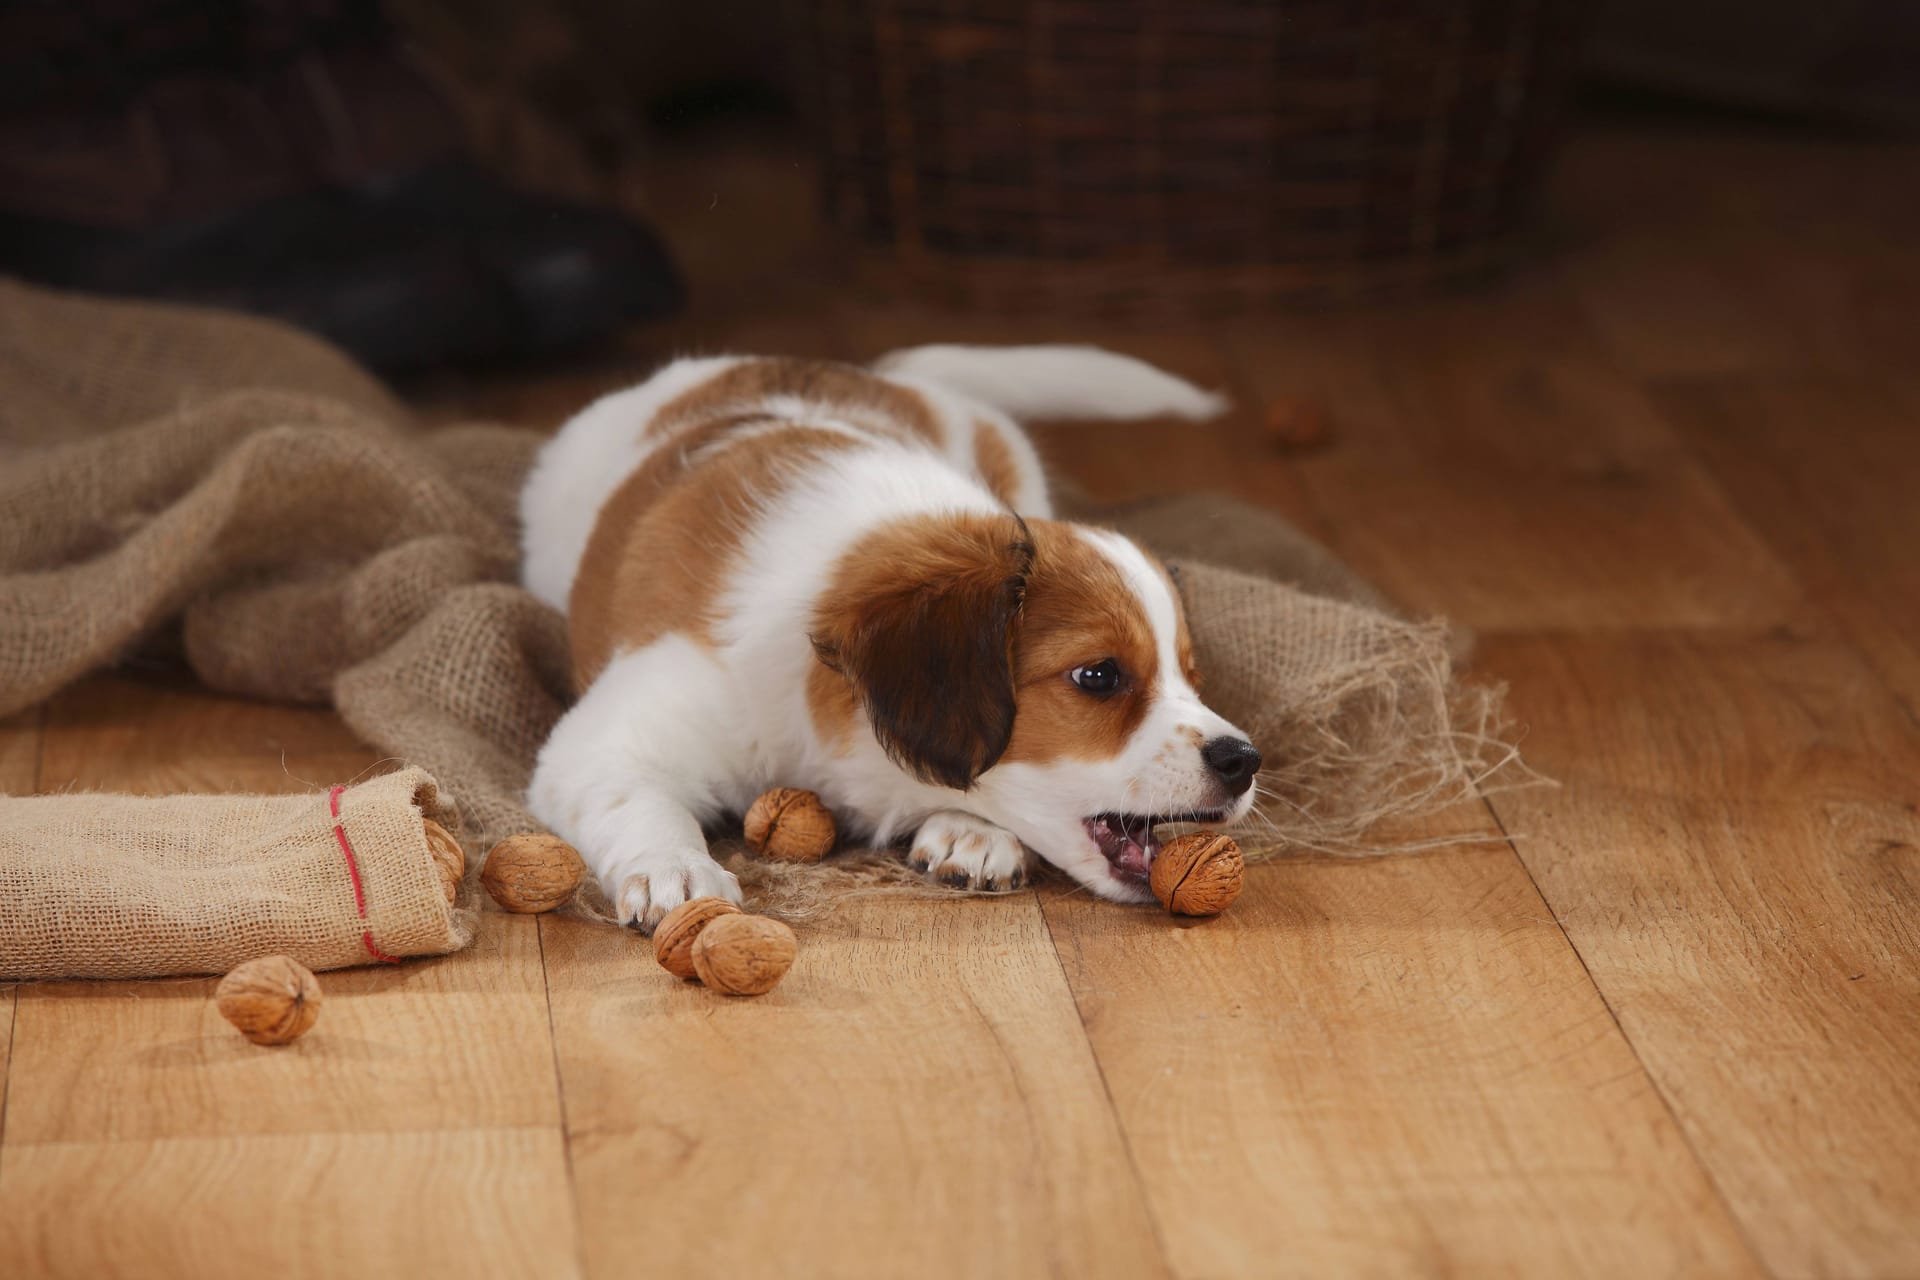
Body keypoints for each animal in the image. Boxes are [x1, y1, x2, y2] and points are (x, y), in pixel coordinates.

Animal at [522, 347, 1259, 932]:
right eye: (1098, 676)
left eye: (1192, 676)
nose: (1244, 761)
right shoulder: (608, 738)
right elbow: (635, 798)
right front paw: (673, 867)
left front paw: (971, 829)